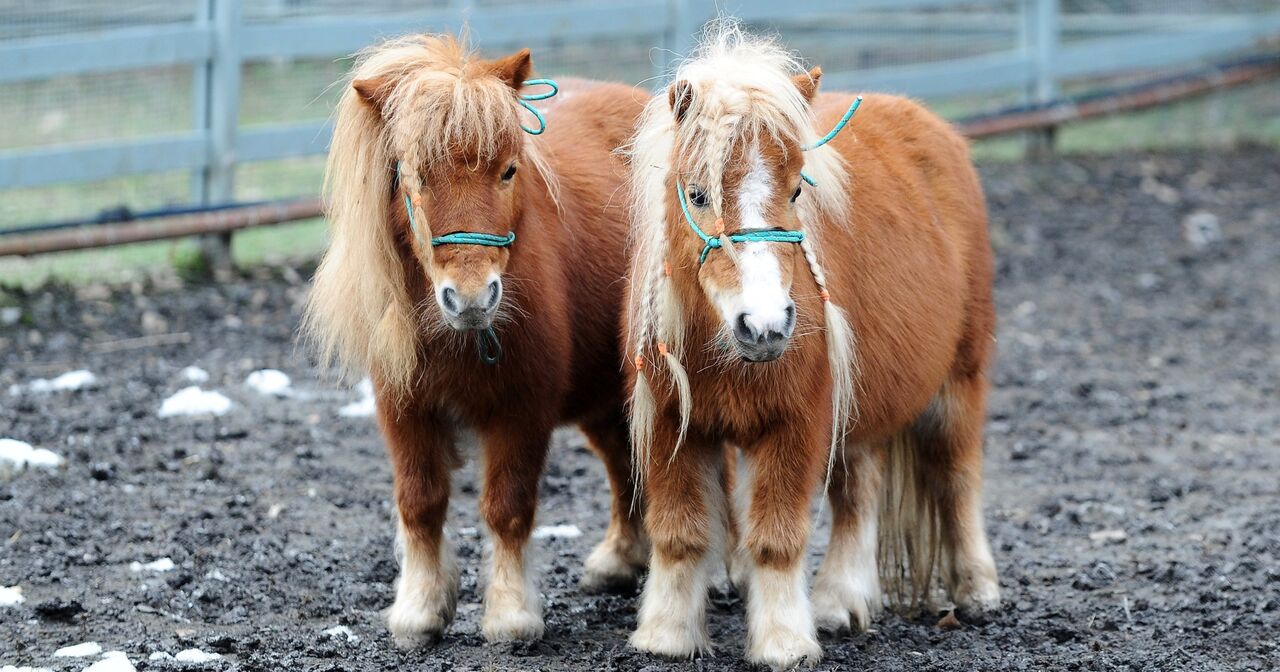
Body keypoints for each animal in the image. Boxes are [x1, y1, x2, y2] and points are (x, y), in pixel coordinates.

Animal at [302, 35, 650, 645]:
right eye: (412, 175)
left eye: (508, 171)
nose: (470, 298)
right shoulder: (404, 411)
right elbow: (420, 503)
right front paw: (420, 609)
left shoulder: (522, 411)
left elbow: (507, 508)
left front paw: (510, 615)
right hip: (604, 396)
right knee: (620, 460)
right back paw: (619, 561)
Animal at [624, 23, 1003, 665]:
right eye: (697, 194)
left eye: (798, 189)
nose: (765, 325)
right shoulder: (674, 423)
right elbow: (679, 533)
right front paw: (668, 635)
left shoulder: (796, 423)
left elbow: (775, 539)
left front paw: (783, 642)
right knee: (859, 493)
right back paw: (840, 602)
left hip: (958, 381)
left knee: (957, 474)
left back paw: (977, 589)